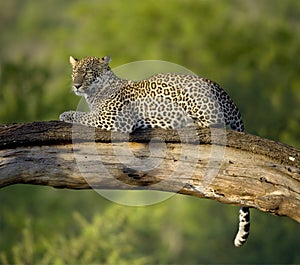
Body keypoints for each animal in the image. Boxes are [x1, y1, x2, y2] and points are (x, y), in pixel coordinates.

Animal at [59, 54, 250, 246]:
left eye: (87, 72)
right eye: (75, 72)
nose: (76, 85)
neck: (94, 94)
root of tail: (223, 91)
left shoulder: (112, 119)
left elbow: (83, 116)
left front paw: (65, 114)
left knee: (213, 125)